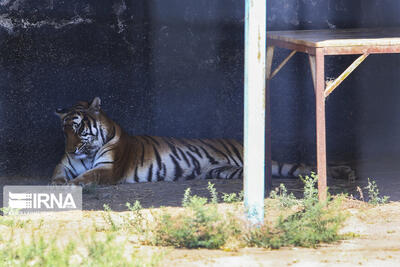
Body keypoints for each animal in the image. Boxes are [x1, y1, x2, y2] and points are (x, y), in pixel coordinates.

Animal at [50, 97, 356, 186]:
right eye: (64, 131)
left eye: (78, 128)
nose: (71, 148)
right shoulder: (64, 165)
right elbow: (58, 175)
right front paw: (57, 185)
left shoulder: (109, 169)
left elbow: (85, 177)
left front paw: (71, 186)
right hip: (227, 171)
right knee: (298, 170)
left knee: (302, 167)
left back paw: (345, 172)